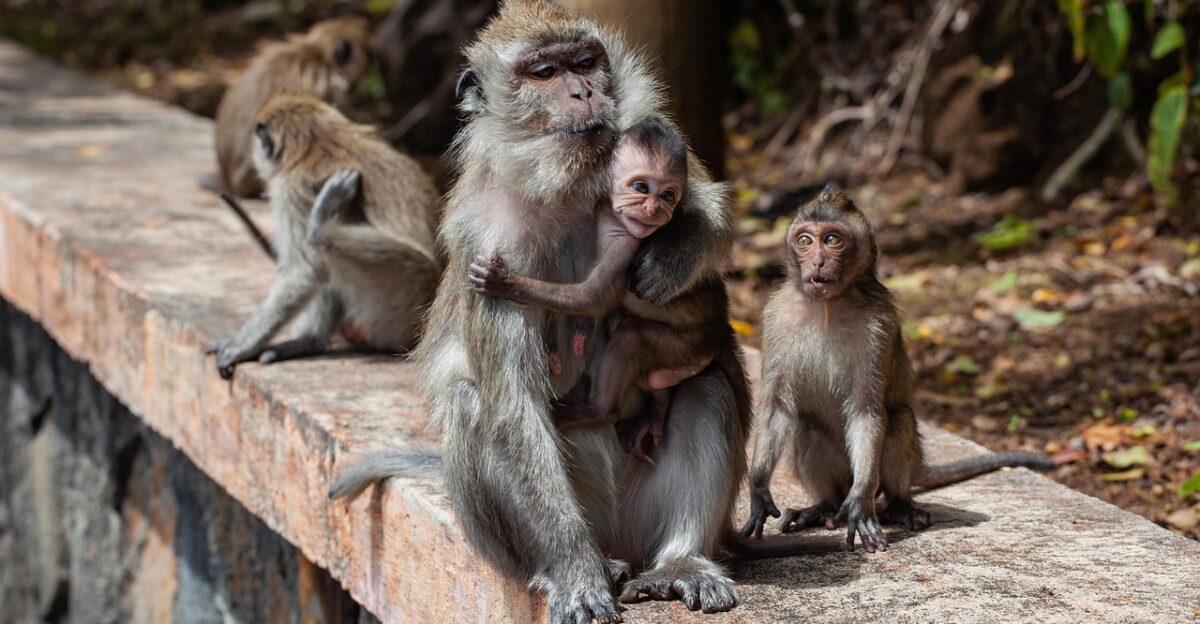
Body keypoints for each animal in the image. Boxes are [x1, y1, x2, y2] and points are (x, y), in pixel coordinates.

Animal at [212, 93, 441, 379]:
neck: (317, 140)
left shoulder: (290, 190)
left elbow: (305, 271)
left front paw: (242, 345)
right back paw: (310, 341)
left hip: (401, 300)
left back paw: (321, 227)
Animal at [467, 116, 748, 459]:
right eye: (641, 187)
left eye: (668, 195)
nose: (654, 209)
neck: (613, 217)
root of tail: (721, 329)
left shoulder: (625, 245)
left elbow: (594, 298)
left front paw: (505, 283)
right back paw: (659, 404)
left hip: (687, 346)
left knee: (631, 337)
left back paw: (601, 411)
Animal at [740, 186, 1057, 553]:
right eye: (804, 241)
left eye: (832, 239)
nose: (817, 261)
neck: (828, 306)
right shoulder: (776, 316)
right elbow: (777, 406)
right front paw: (758, 488)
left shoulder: (880, 323)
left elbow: (867, 410)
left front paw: (860, 503)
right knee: (808, 427)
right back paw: (824, 508)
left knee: (898, 422)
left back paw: (898, 506)